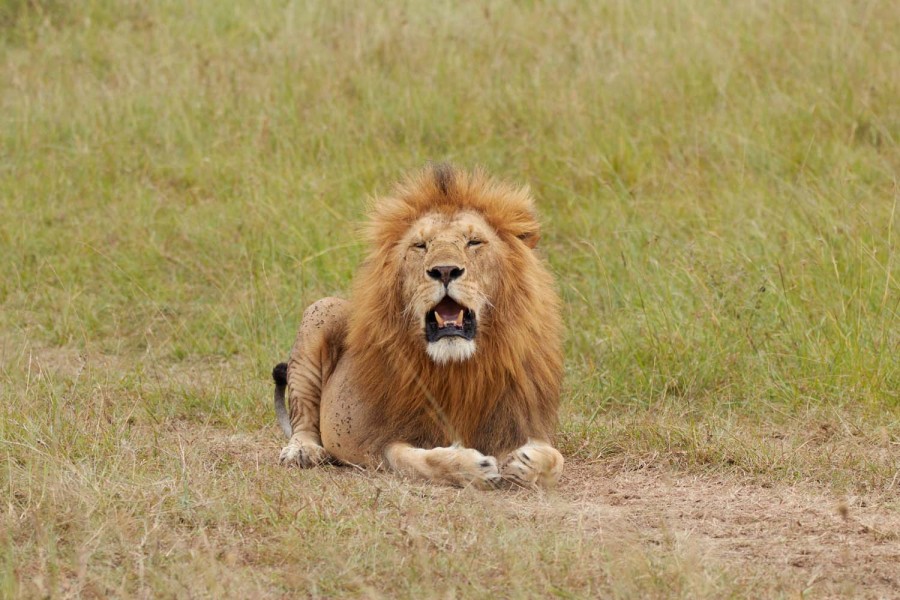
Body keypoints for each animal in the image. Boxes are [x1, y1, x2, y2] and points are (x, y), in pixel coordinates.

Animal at [271, 164, 564, 489]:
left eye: (474, 242)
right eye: (420, 245)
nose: (445, 270)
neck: (457, 369)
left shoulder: (520, 422)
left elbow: (555, 458)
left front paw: (526, 462)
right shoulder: (384, 443)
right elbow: (423, 460)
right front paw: (470, 466)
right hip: (320, 310)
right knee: (303, 418)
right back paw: (303, 450)